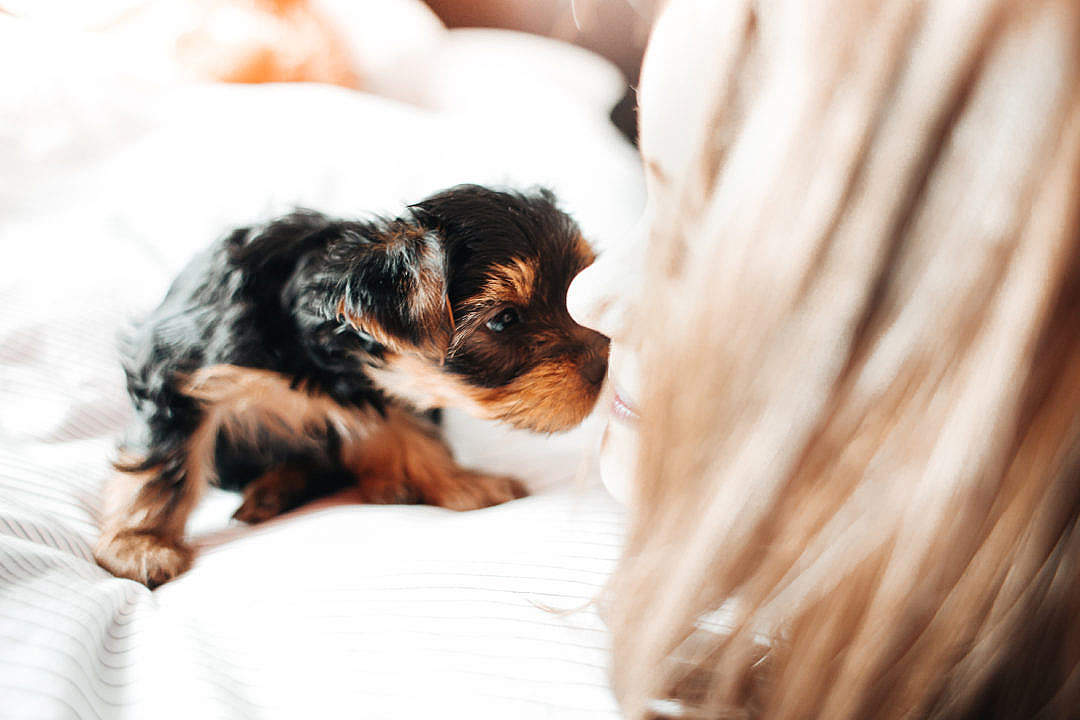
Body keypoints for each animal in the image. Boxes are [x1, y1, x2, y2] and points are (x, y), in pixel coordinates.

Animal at [95, 184, 609, 587]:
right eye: (503, 321)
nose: (606, 364)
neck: (313, 351)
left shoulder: (378, 384)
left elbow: (414, 434)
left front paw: (458, 482)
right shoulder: (184, 377)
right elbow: (166, 465)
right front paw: (139, 545)